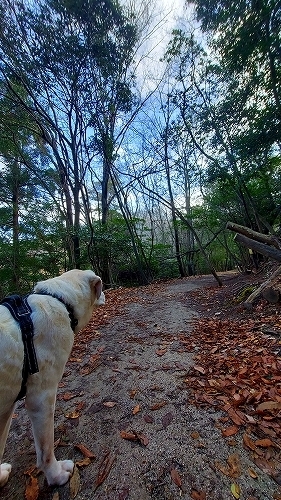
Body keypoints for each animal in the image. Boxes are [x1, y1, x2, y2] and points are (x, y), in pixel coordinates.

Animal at [0, 270, 104, 488]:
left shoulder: (5, 409)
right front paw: (56, 475)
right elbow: (46, 450)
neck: (60, 300)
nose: (106, 291)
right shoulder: (41, 398)